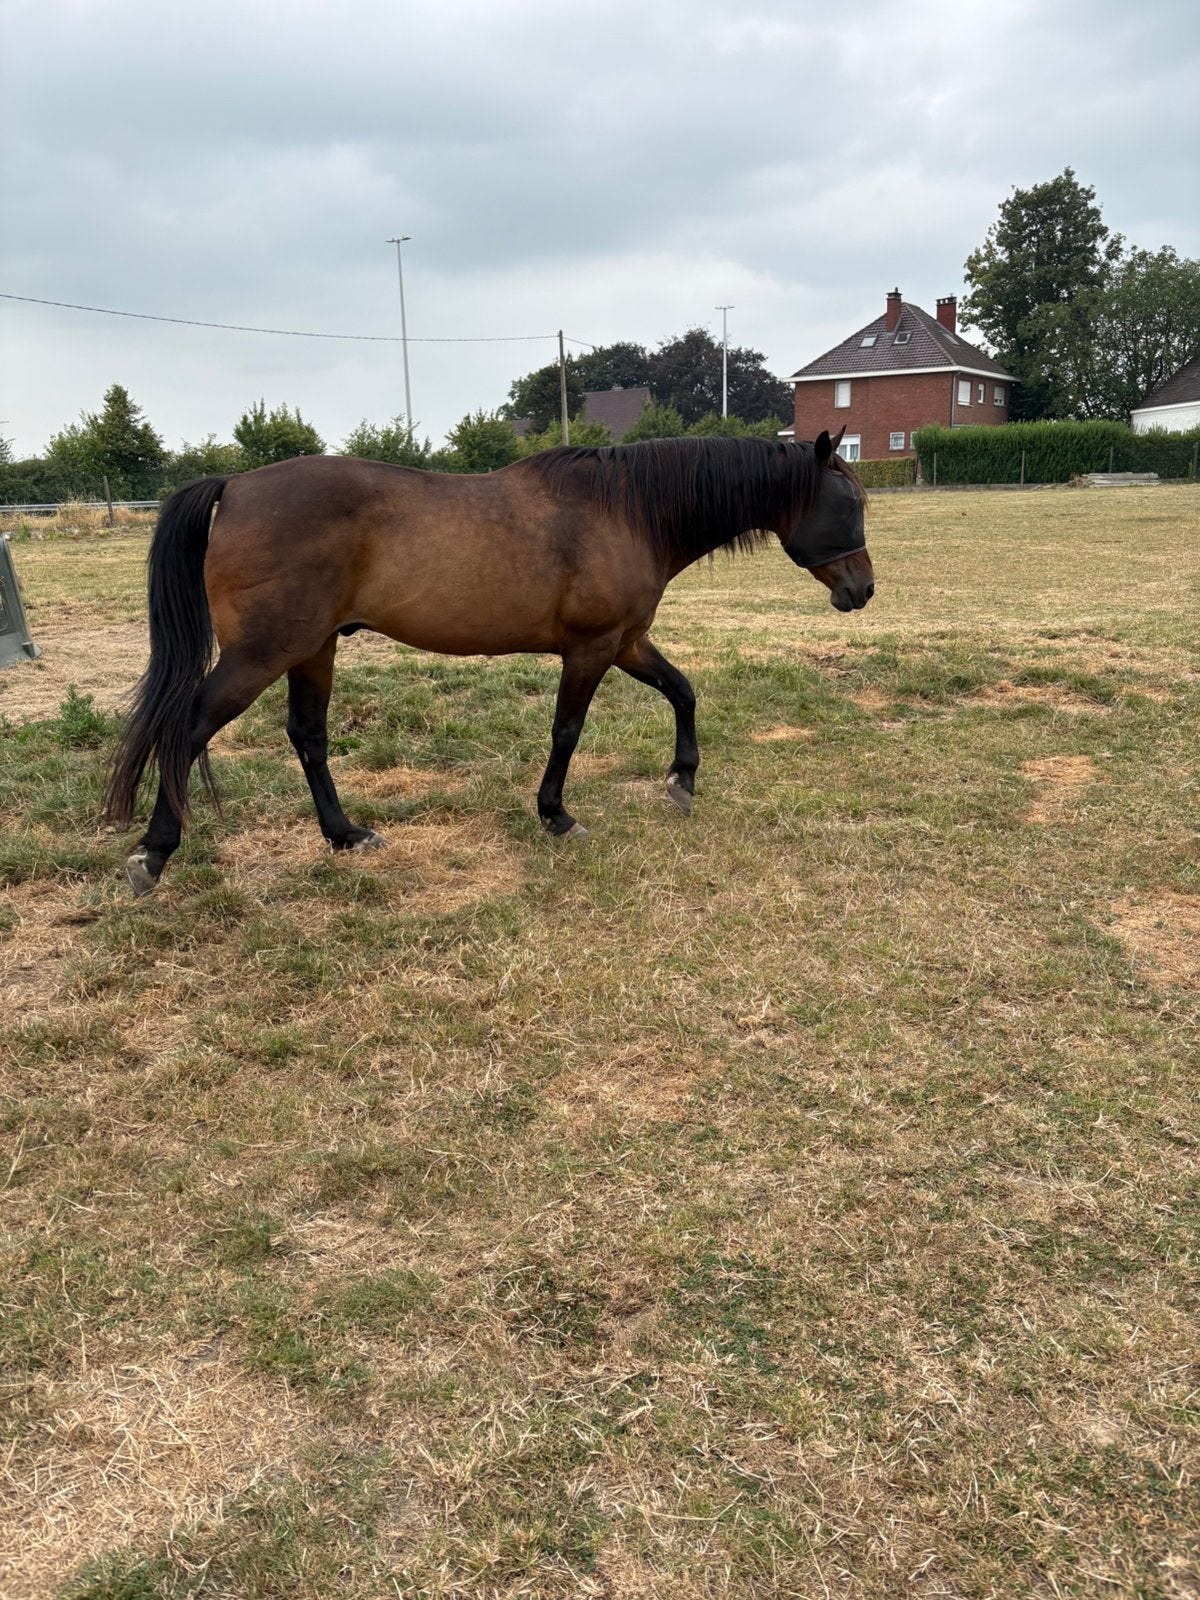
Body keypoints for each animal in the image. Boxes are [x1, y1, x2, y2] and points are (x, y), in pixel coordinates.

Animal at [104, 430, 873, 895]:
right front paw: (556, 814)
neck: (627, 512)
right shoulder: (592, 648)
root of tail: (234, 485)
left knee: (308, 736)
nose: (862, 590)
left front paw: (682, 779)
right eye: (850, 504)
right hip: (263, 654)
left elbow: (683, 692)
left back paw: (345, 835)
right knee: (188, 726)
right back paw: (154, 852)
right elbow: (567, 732)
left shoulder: (627, 642)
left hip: (313, 649)